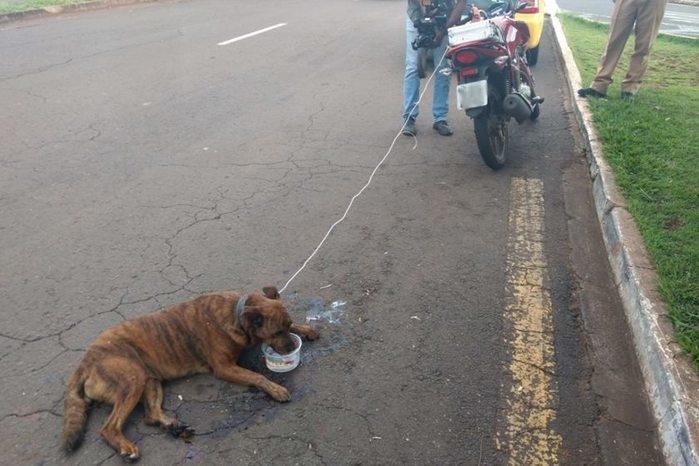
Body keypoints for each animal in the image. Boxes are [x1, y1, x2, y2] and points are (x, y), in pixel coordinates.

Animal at [61, 286, 318, 460]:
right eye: (276, 332)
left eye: (287, 325)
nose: (291, 349)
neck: (237, 313)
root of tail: (85, 362)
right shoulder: (224, 368)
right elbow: (257, 376)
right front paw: (275, 388)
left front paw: (305, 328)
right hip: (132, 378)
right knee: (108, 427)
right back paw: (126, 446)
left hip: (149, 379)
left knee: (151, 415)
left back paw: (173, 427)